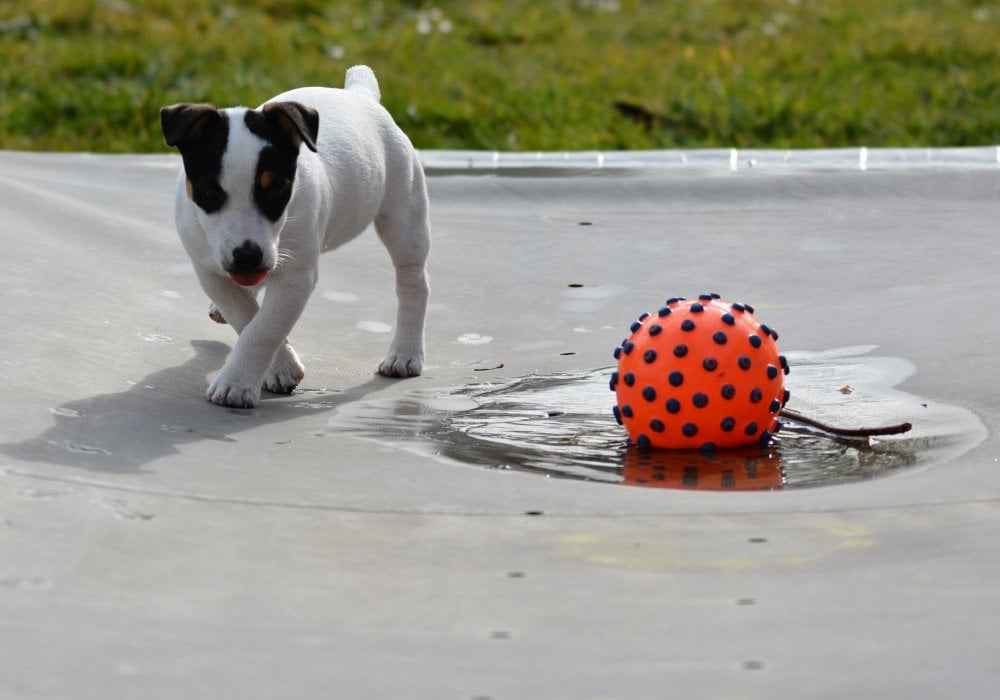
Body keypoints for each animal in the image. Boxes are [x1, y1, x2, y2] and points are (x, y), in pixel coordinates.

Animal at [160, 67, 430, 408]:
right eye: (211, 192)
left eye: (275, 190)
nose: (247, 257)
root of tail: (360, 95)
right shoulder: (212, 272)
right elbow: (246, 316)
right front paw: (279, 366)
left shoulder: (295, 277)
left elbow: (264, 327)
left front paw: (238, 383)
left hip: (404, 216)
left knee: (413, 284)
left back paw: (405, 354)